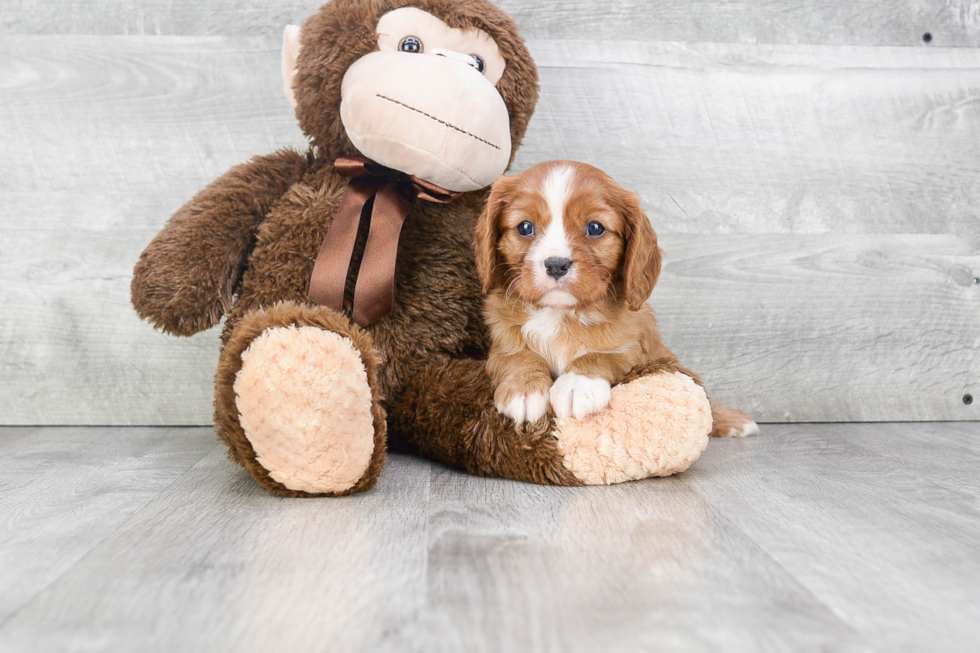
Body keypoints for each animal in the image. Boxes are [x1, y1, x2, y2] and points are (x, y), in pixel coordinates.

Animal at [474, 158, 756, 436]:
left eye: (595, 228)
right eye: (525, 227)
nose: (556, 264)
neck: (562, 314)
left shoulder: (638, 348)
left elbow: (605, 354)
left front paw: (578, 384)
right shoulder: (499, 346)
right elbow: (516, 355)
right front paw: (524, 387)